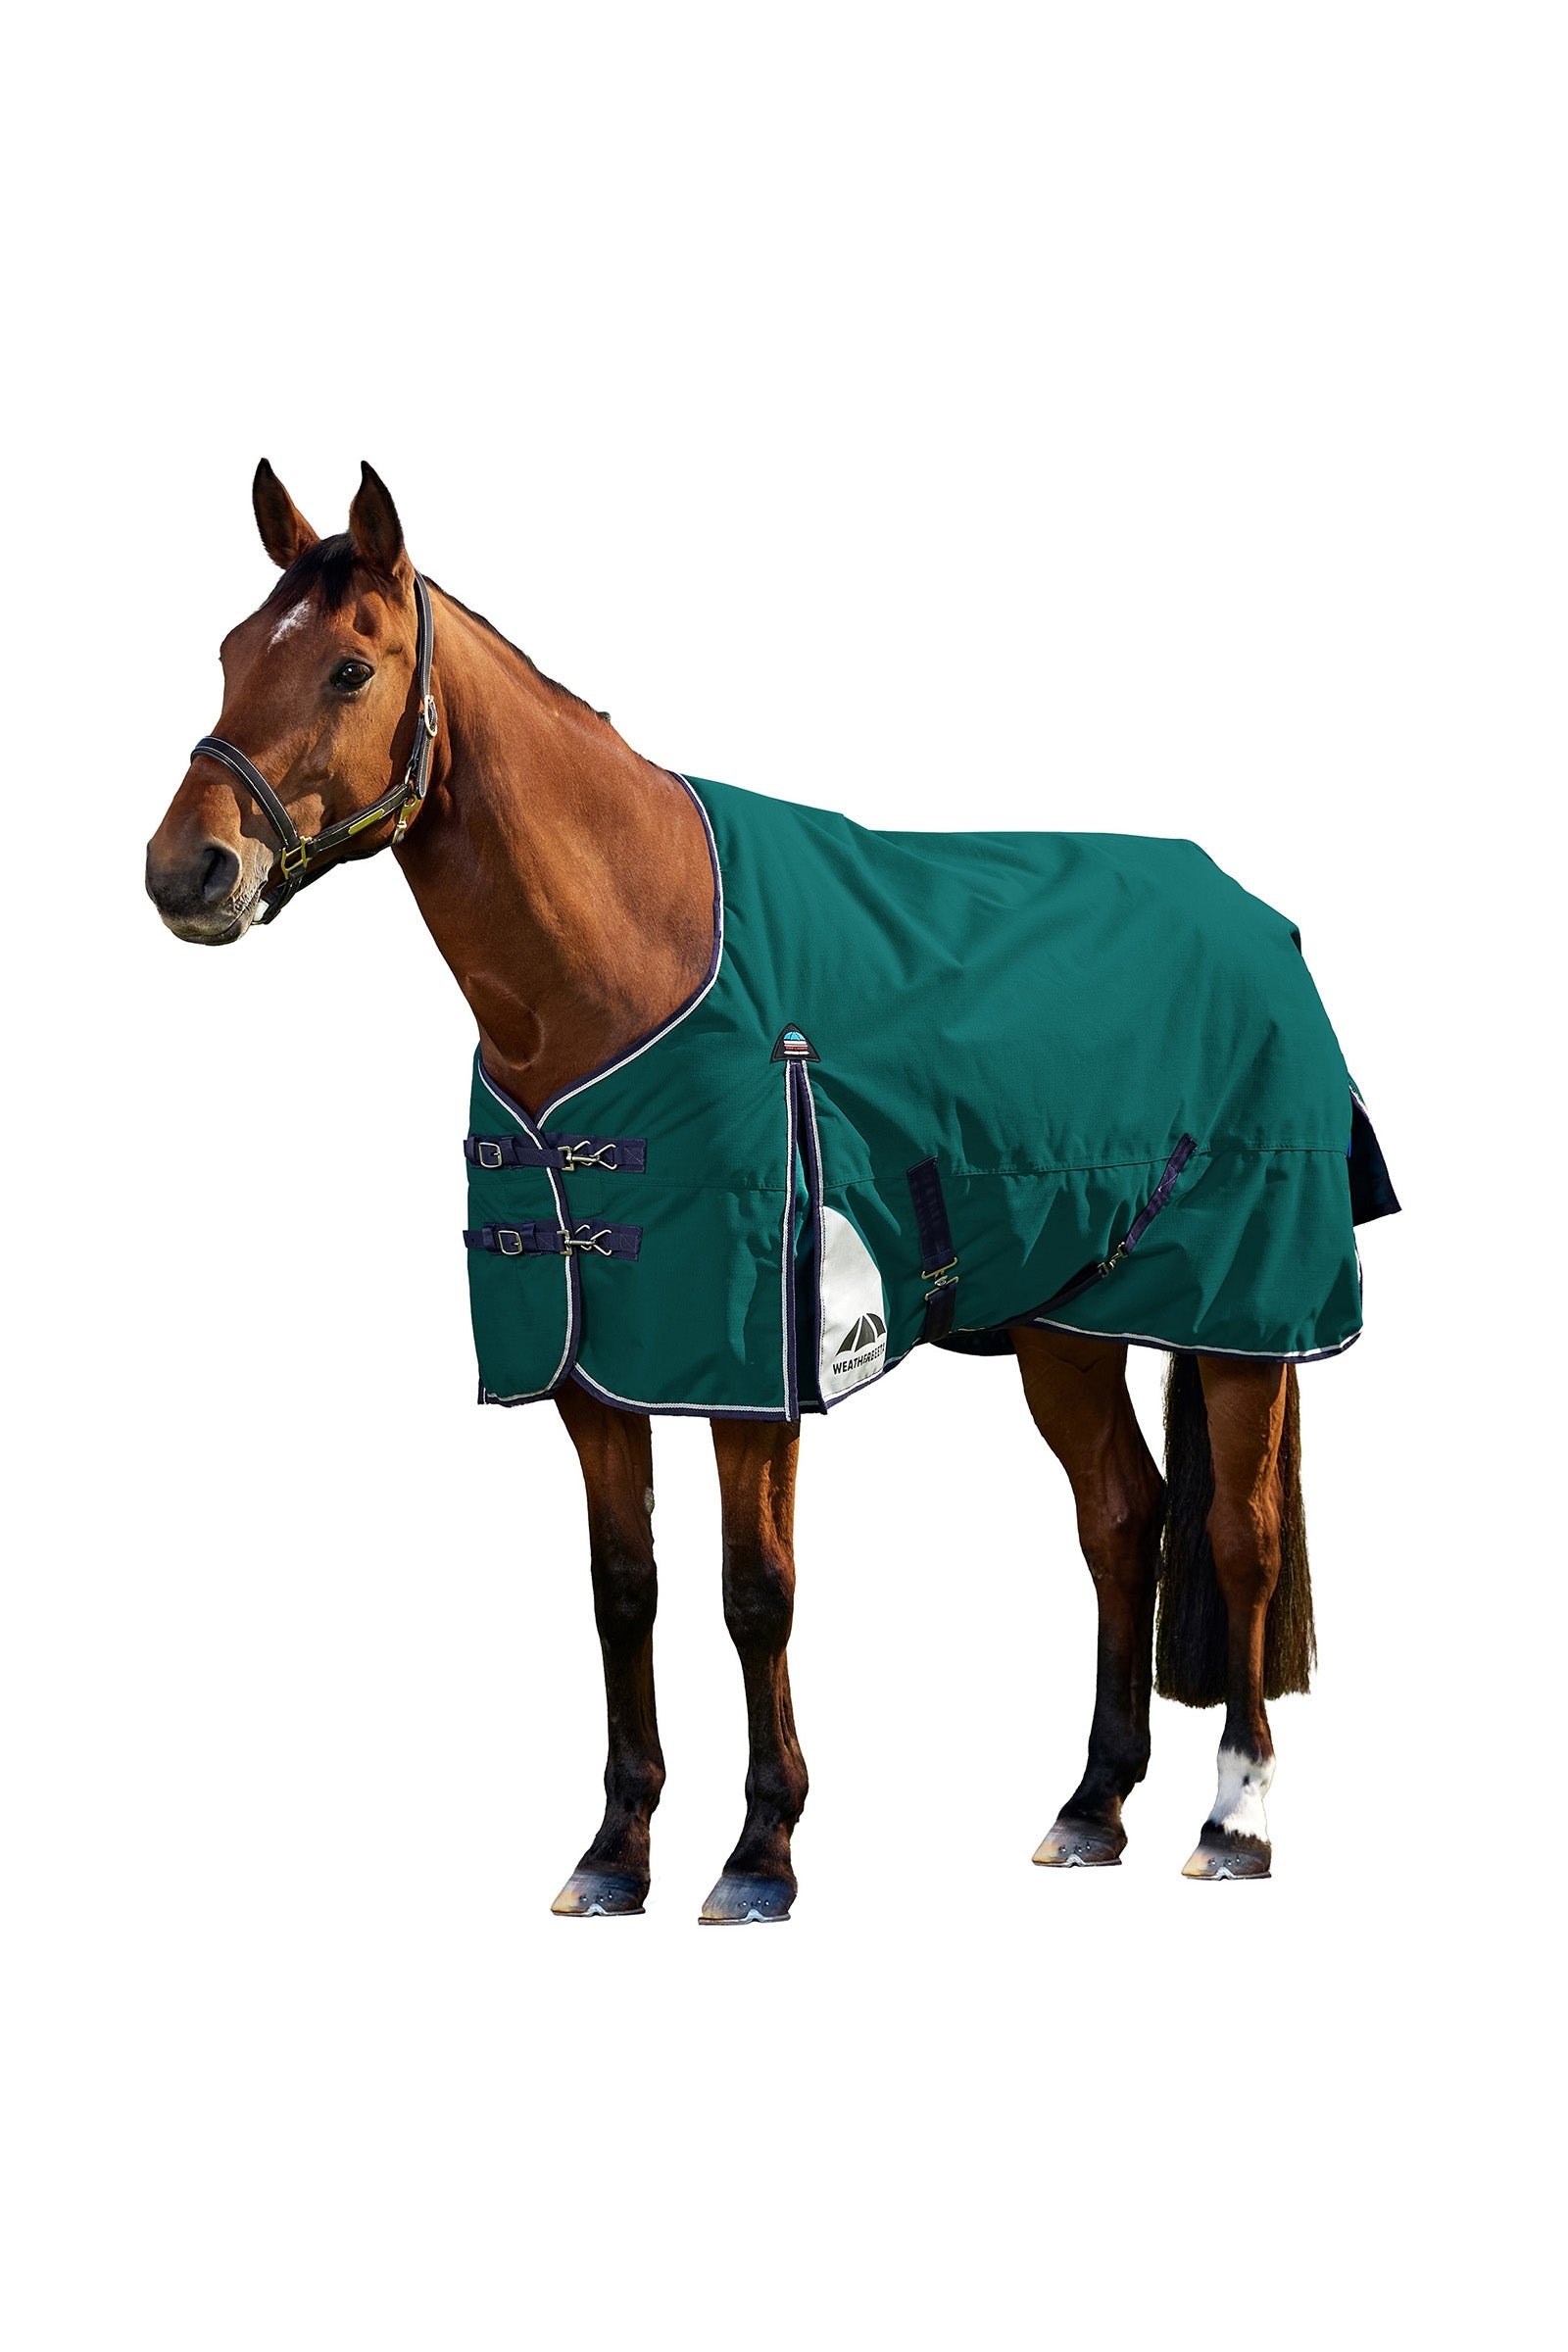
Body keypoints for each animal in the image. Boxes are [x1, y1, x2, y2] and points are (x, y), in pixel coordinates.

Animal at [146, 460, 1381, 1919]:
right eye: (231, 655)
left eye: (348, 667)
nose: (186, 873)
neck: (634, 959)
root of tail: (1257, 918)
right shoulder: (597, 1374)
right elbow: (624, 1591)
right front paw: (614, 1854)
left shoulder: (756, 1372)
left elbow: (755, 1593)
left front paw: (759, 1854)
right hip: (1066, 1323)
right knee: (1122, 1520)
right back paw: (1091, 1807)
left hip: (1243, 1314)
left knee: (1238, 1537)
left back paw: (1234, 1821)